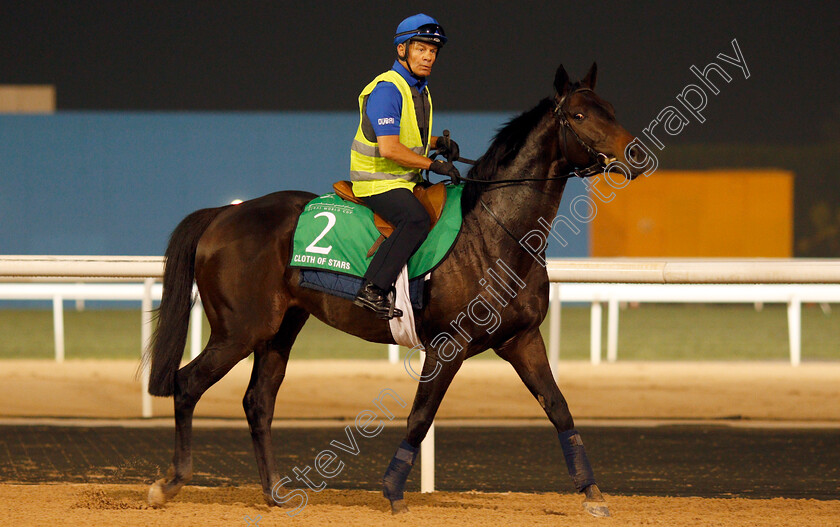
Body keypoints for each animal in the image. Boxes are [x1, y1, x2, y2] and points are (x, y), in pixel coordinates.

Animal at [146, 64, 644, 516]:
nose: (636, 154)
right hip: (240, 330)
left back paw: (274, 493)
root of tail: (223, 214)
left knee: (258, 402)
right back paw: (169, 484)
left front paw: (593, 494)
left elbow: (559, 407)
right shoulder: (448, 345)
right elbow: (420, 417)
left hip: (280, 329)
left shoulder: (521, 339)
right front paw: (392, 492)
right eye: (578, 115)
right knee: (187, 384)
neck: (495, 234)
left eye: (612, 110)